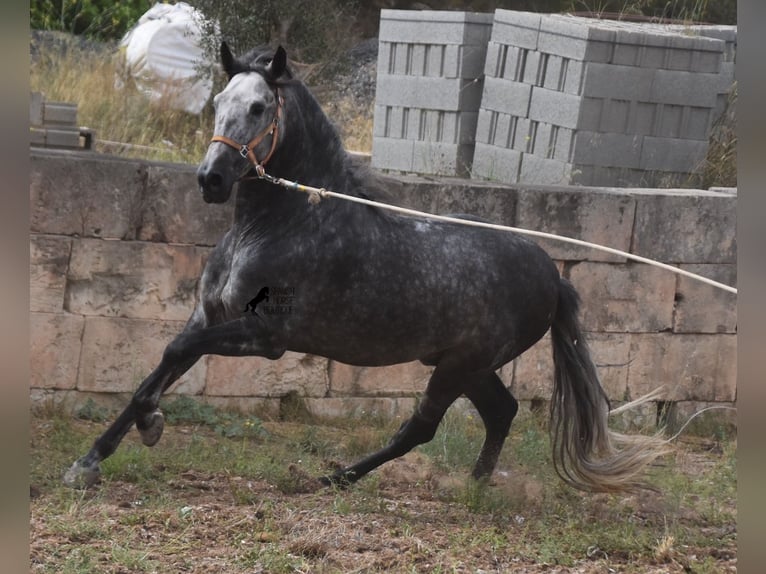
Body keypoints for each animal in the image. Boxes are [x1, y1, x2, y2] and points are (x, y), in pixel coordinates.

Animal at [66, 45, 664, 496]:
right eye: (218, 101)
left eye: (259, 107)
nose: (210, 179)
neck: (282, 224)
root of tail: (554, 276)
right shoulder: (208, 316)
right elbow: (162, 365)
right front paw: (91, 459)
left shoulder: (265, 336)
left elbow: (174, 355)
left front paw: (149, 427)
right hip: (467, 364)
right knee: (502, 412)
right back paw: (473, 485)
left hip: (459, 367)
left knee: (422, 427)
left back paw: (333, 479)